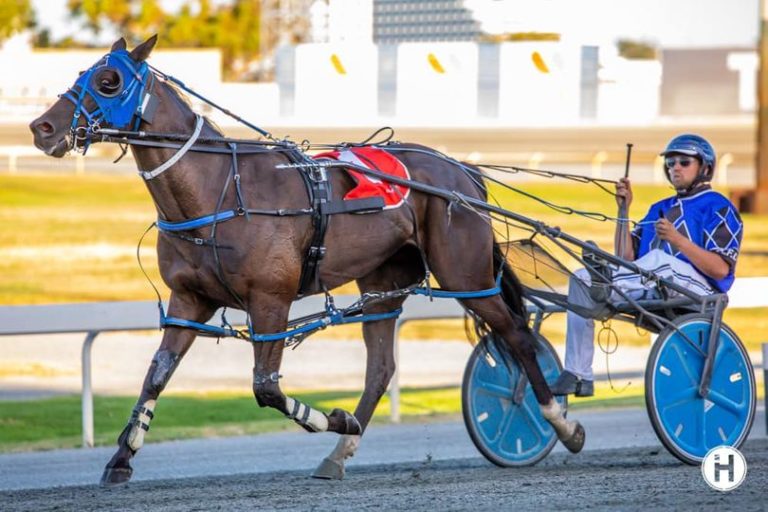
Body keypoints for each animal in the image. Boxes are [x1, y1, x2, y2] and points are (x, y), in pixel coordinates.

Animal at [30, 36, 584, 485]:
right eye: (80, 74)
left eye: (107, 81)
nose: (42, 127)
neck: (217, 189)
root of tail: (461, 172)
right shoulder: (190, 300)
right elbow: (156, 376)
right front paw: (120, 459)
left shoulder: (270, 301)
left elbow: (266, 389)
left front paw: (334, 418)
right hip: (385, 282)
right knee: (381, 368)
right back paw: (339, 454)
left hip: (464, 273)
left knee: (516, 335)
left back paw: (563, 425)